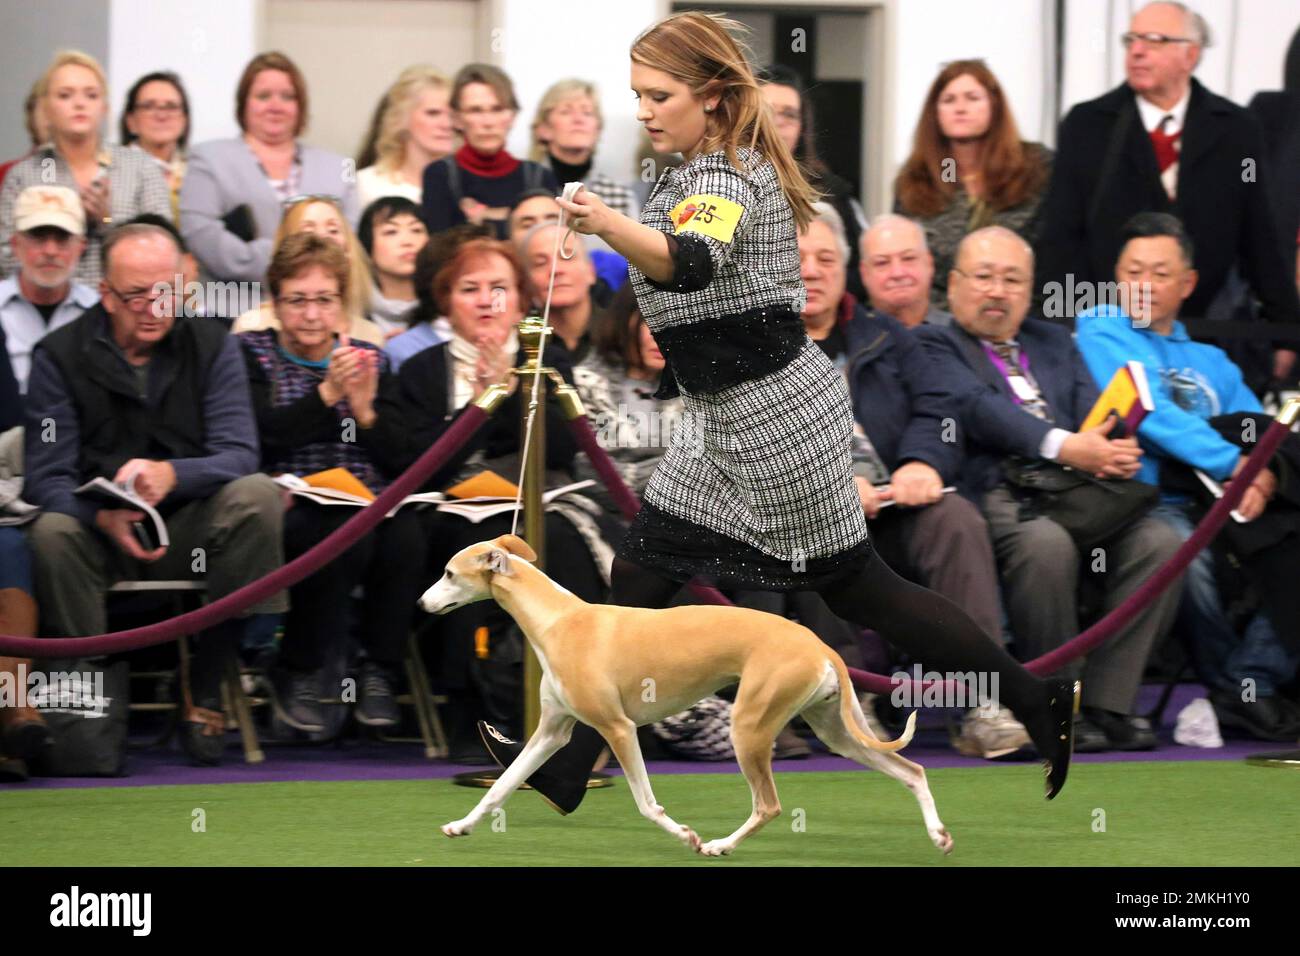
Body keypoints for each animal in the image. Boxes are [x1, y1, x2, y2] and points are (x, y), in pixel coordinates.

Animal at [421, 535, 951, 858]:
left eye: (448, 573)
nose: (422, 604)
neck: (559, 620)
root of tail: (819, 645)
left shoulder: (617, 728)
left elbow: (646, 803)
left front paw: (684, 834)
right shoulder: (552, 731)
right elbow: (503, 785)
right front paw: (461, 825)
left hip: (750, 726)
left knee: (769, 805)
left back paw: (720, 845)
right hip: (835, 729)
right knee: (912, 770)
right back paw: (939, 835)